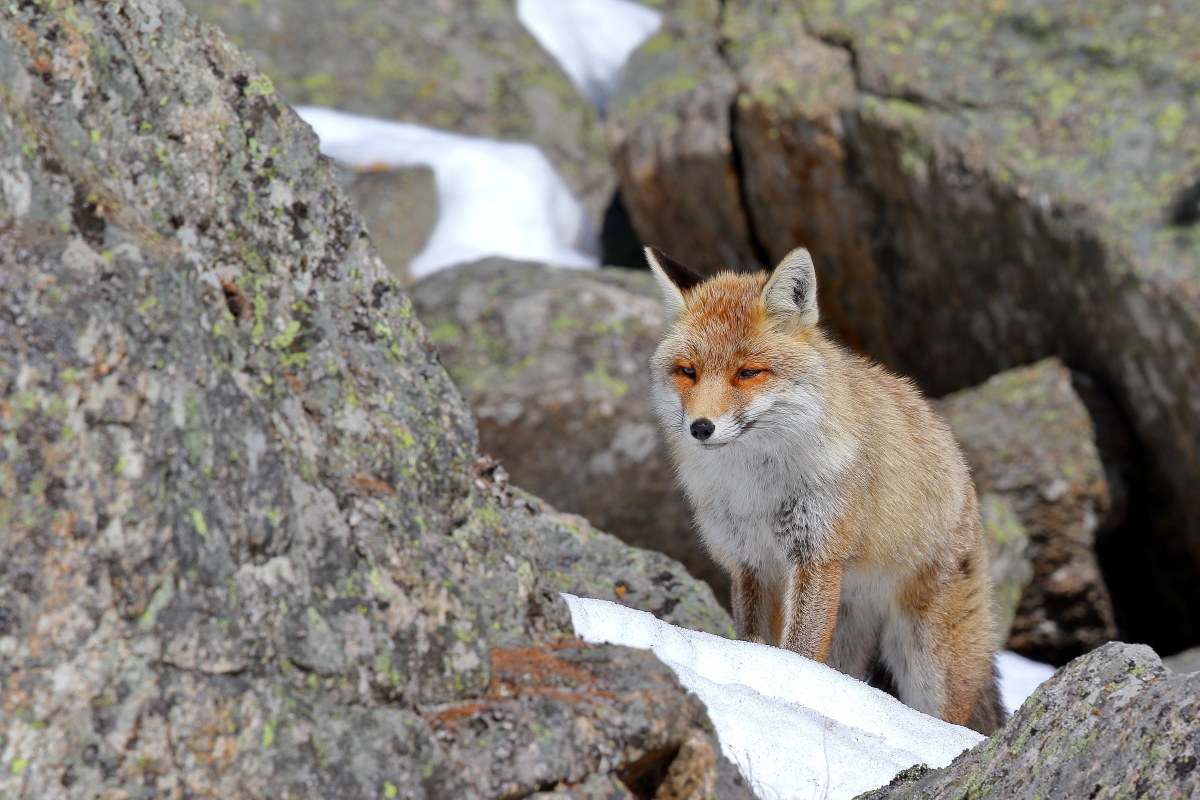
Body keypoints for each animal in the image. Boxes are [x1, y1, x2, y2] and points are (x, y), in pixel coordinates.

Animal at [645, 245, 1004, 734]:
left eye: (748, 372)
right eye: (688, 371)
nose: (701, 427)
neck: (755, 491)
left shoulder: (817, 555)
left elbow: (797, 653)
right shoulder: (749, 562)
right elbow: (754, 640)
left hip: (930, 664)